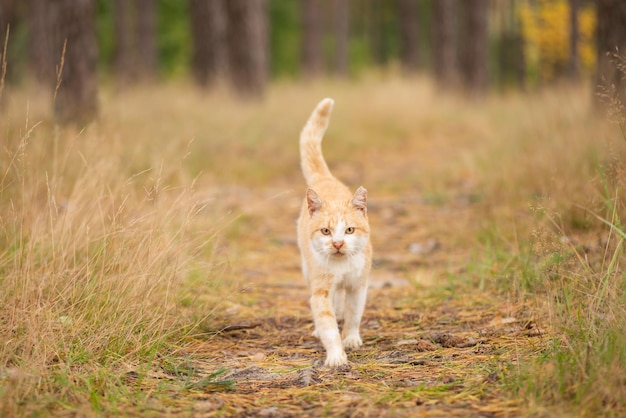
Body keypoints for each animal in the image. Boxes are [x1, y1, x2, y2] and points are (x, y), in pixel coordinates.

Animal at [294, 97, 368, 366]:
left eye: (349, 230)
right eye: (326, 231)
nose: (337, 243)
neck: (341, 265)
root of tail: (325, 179)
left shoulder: (358, 285)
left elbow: (354, 314)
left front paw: (351, 338)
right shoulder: (320, 289)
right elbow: (327, 324)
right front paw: (336, 354)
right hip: (308, 269)